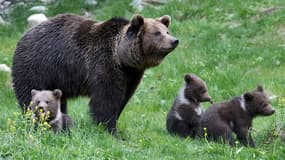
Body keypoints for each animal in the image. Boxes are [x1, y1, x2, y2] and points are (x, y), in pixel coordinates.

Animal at [12, 13, 180, 133]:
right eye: (157, 33)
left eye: (167, 31)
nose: (174, 40)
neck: (122, 58)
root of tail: (22, 36)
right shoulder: (103, 63)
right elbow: (106, 99)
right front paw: (109, 129)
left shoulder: (131, 75)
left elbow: (123, 98)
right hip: (38, 67)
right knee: (30, 93)